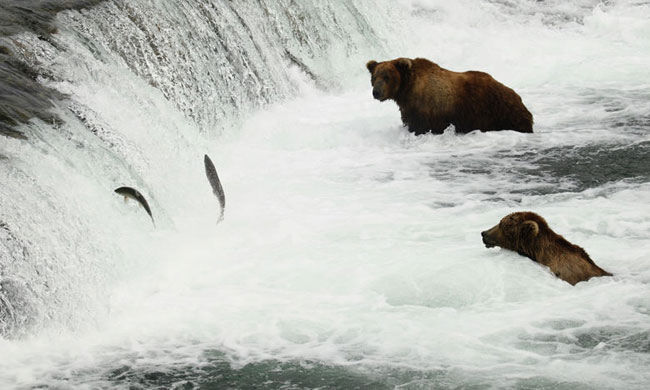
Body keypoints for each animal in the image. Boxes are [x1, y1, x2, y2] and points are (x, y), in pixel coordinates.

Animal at [364, 57, 532, 135]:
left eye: (387, 77)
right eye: (375, 77)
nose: (376, 92)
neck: (407, 90)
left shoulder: (428, 110)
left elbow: (421, 127)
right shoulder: (409, 108)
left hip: (497, 111)